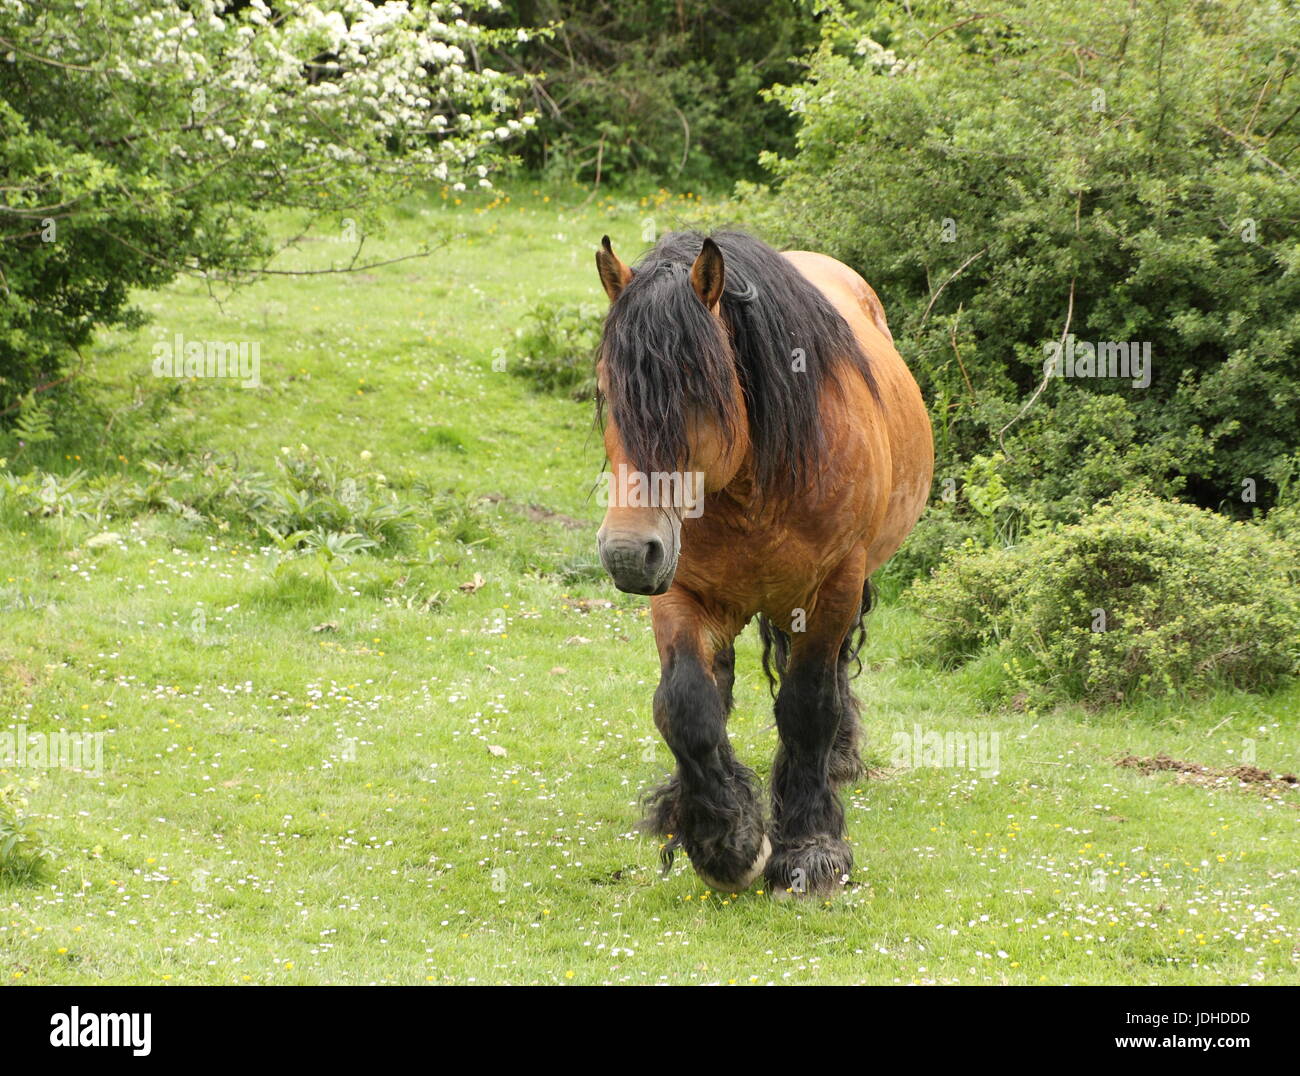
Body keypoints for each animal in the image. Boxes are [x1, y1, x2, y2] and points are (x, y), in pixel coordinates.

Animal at [592, 230, 933, 897]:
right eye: (603, 390)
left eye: (697, 387)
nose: (626, 551)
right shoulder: (679, 591)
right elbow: (687, 705)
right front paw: (725, 841)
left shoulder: (833, 589)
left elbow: (808, 706)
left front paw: (810, 848)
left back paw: (837, 762)